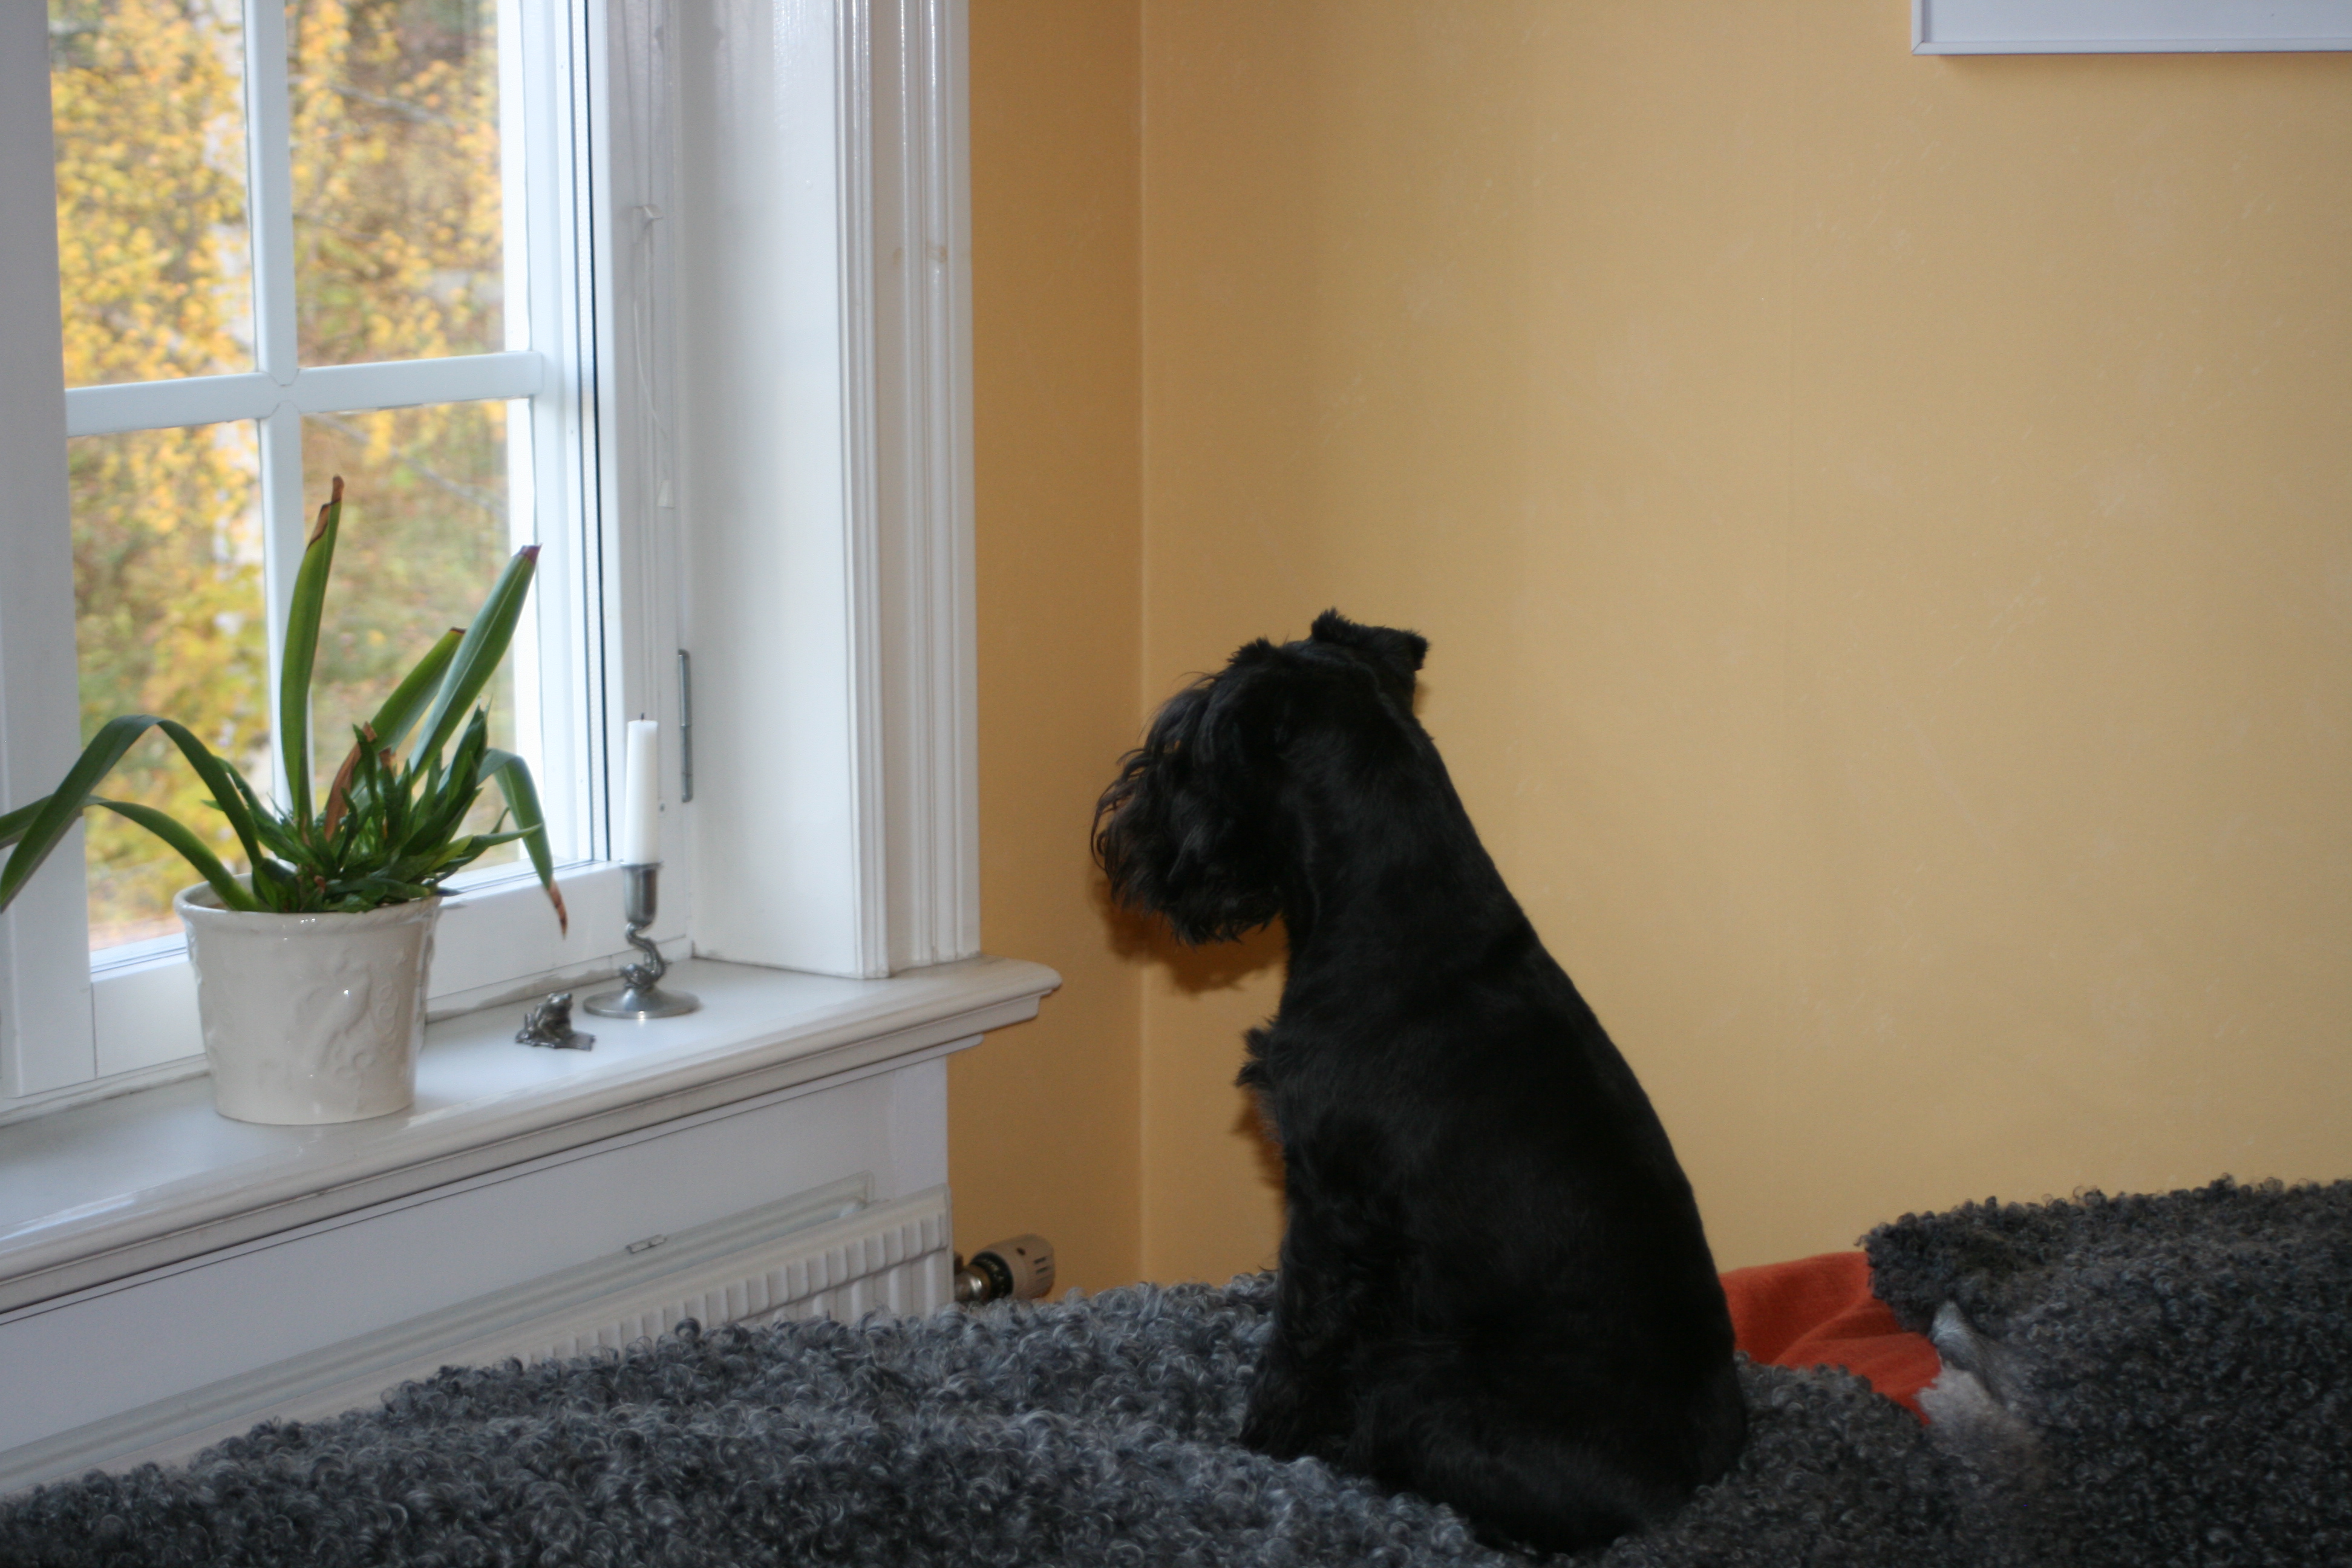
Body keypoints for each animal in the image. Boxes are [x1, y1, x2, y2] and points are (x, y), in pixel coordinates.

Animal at [1094, 611, 1746, 1553]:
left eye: (1183, 745)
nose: (1119, 822)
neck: (1384, 906)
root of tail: (1689, 1494)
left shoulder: (1326, 1207)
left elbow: (1297, 1339)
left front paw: (1259, 1447)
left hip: (1420, 1387)